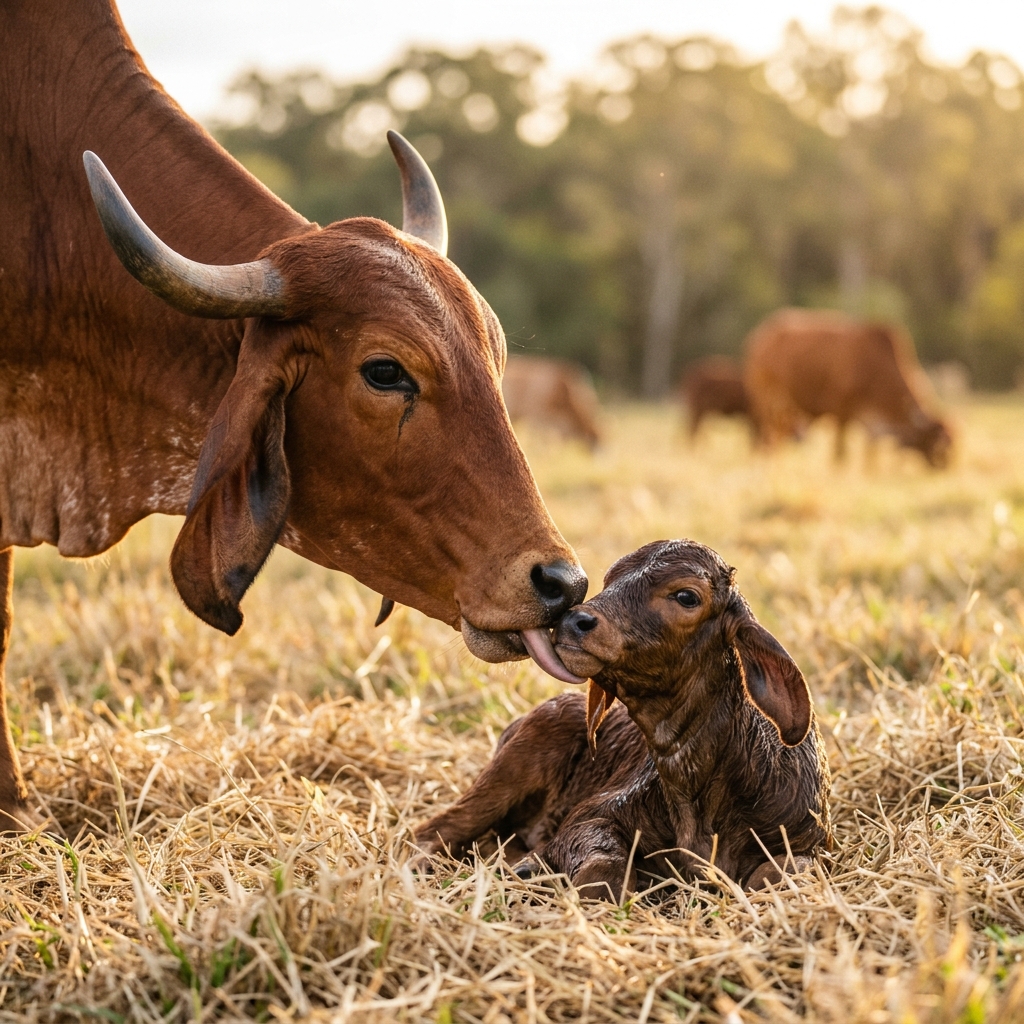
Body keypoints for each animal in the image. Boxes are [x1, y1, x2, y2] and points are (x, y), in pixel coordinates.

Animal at [743, 309, 952, 467]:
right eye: (939, 446)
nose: (944, 468)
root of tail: (760, 337)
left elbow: (868, 453)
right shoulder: (841, 412)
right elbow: (840, 452)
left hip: (785, 409)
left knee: (776, 436)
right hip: (766, 401)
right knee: (765, 435)